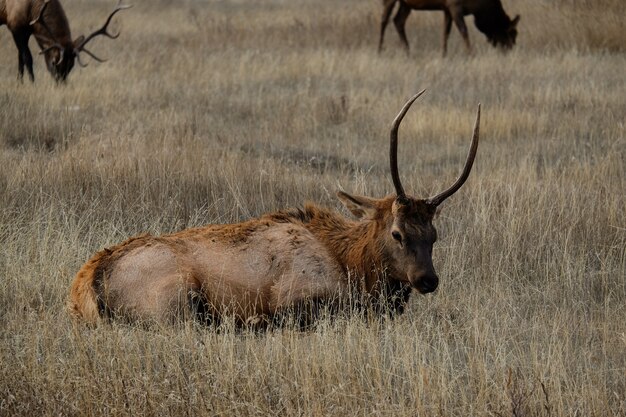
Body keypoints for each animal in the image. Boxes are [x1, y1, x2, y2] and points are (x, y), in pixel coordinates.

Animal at [0, 0, 130, 82]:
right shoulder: (15, 26)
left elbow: (20, 58)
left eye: (71, 65)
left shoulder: (26, 30)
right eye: (54, 62)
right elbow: (27, 57)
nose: (60, 83)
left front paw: (19, 83)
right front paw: (32, 83)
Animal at [67, 92, 478, 328]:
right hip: (175, 299)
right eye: (397, 233)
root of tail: (87, 285)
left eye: (434, 235)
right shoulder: (294, 298)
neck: (351, 264)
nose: (428, 279)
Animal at [378, 0, 520, 55]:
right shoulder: (454, 5)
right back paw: (379, 49)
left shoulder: (447, 8)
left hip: (406, 4)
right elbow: (464, 31)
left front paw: (444, 54)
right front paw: (470, 53)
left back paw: (407, 50)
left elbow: (445, 32)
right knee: (384, 20)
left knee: (398, 21)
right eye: (510, 32)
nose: (509, 50)